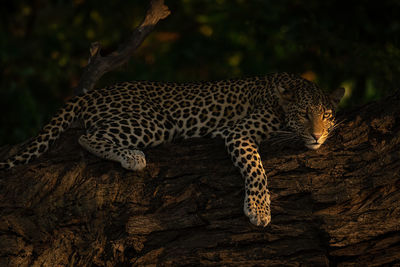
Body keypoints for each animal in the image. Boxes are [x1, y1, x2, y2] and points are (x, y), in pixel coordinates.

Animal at [0, 72, 344, 227]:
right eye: (304, 114)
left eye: (326, 115)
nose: (316, 136)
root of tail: (92, 93)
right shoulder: (239, 132)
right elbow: (257, 172)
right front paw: (259, 210)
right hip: (154, 122)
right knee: (86, 138)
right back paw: (132, 157)